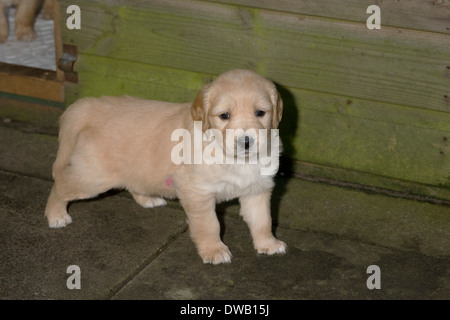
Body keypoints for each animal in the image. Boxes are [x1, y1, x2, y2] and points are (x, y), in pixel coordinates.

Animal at [44, 69, 284, 264]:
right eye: (225, 115)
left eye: (260, 113)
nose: (246, 141)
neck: (235, 158)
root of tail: (90, 108)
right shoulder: (197, 192)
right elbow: (209, 224)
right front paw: (214, 250)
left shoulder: (257, 190)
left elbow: (263, 220)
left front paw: (268, 244)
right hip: (93, 178)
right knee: (60, 184)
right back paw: (56, 215)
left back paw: (148, 199)